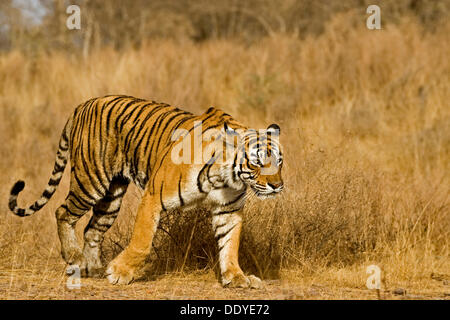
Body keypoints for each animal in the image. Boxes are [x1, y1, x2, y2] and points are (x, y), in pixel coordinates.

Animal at [8, 95, 284, 288]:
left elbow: (230, 244)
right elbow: (142, 242)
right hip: (91, 182)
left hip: (112, 197)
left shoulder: (228, 210)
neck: (227, 176)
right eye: (257, 162)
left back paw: (94, 268)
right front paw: (120, 273)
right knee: (62, 211)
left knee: (92, 230)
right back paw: (74, 257)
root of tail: (83, 104)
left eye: (279, 162)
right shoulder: (153, 197)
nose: (277, 185)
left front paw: (236, 277)